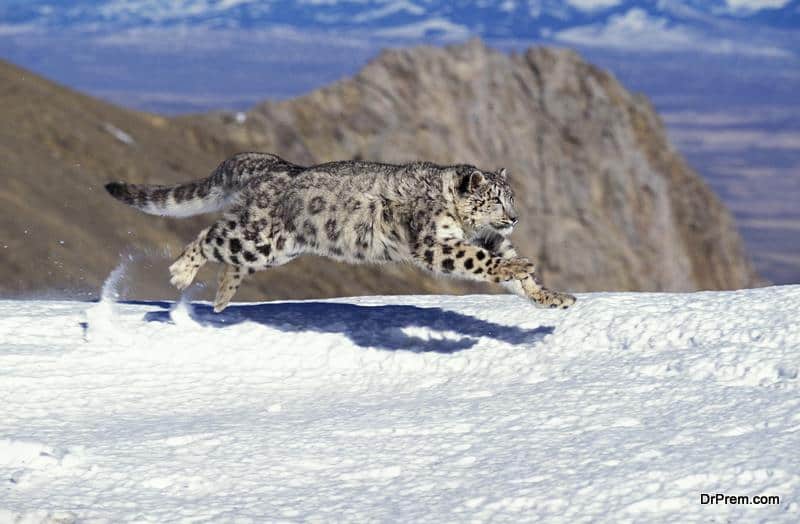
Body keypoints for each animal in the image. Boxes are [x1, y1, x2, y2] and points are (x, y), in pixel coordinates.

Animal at [108, 154, 576, 314]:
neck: (471, 227)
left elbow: (508, 265)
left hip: (275, 249)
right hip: (258, 236)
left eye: (510, 198)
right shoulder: (434, 242)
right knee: (209, 236)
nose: (514, 218)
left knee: (231, 256)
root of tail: (272, 164)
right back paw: (182, 273)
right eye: (495, 200)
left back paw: (222, 298)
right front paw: (517, 266)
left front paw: (551, 296)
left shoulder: (490, 239)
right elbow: (480, 260)